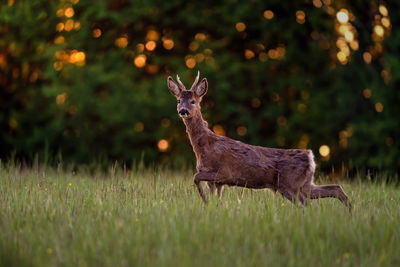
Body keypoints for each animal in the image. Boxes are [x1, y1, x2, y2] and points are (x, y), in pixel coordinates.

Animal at [167, 71, 352, 211]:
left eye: (193, 101)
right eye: (178, 100)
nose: (183, 111)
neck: (204, 146)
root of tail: (310, 157)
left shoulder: (224, 172)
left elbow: (195, 177)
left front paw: (205, 201)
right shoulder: (217, 182)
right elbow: (212, 194)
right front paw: (210, 206)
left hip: (289, 184)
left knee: (306, 205)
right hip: (304, 183)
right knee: (336, 189)